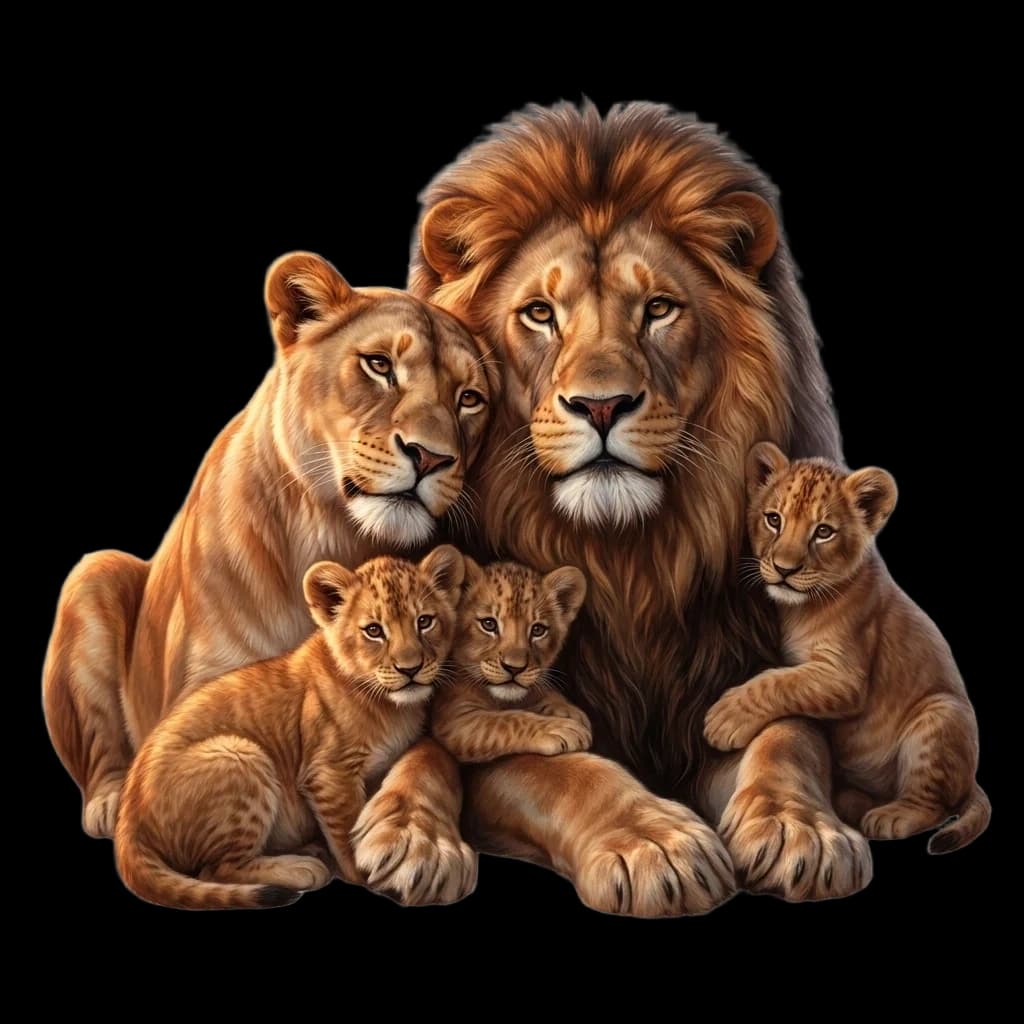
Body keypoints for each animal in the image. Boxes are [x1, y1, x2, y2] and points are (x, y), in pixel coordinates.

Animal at [43, 252, 492, 904]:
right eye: (379, 365)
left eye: (470, 398)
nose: (432, 457)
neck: (340, 535)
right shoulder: (207, 700)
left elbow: (433, 753)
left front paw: (421, 844)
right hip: (93, 572)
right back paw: (114, 803)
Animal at [363, 100, 874, 915]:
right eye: (540, 313)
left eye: (659, 308)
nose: (602, 405)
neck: (626, 559)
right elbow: (566, 769)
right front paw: (655, 845)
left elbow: (786, 733)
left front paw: (803, 832)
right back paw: (414, 842)